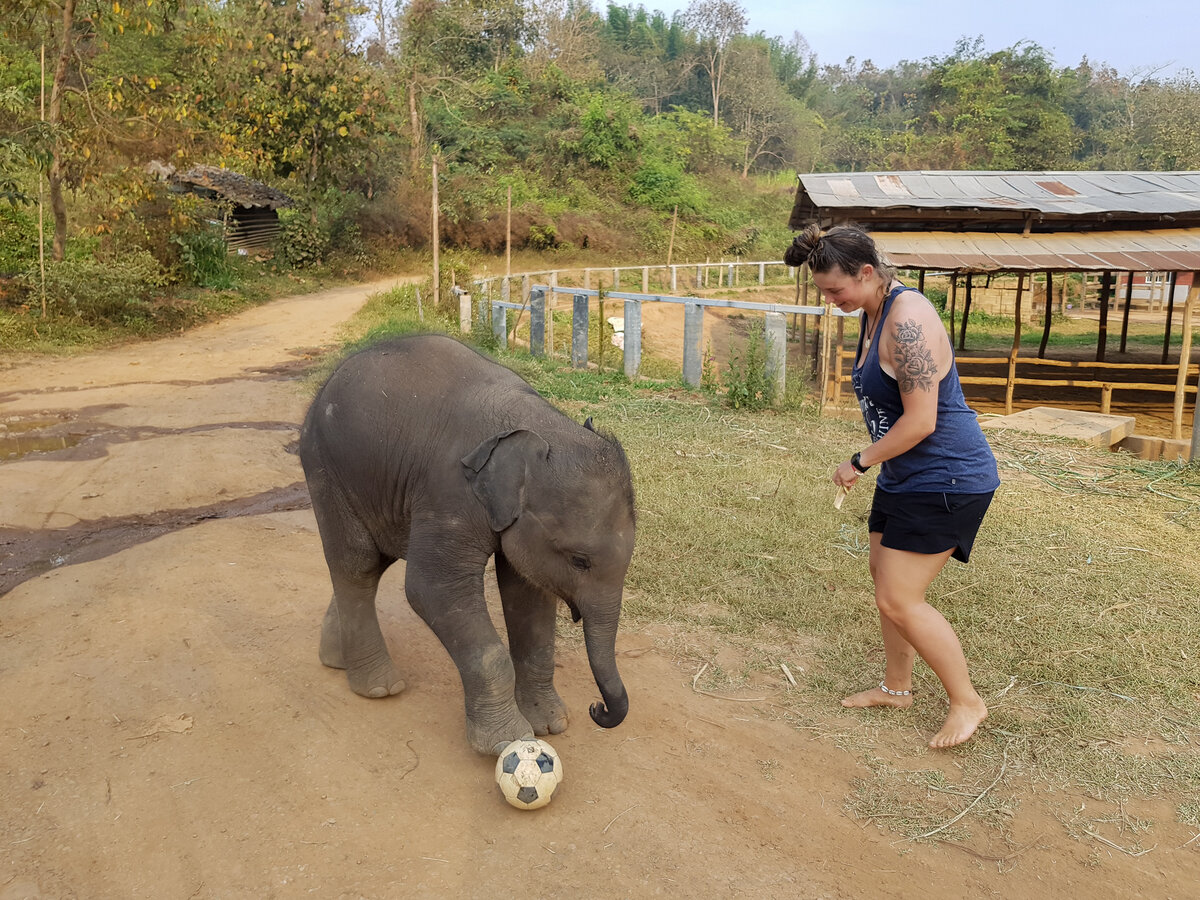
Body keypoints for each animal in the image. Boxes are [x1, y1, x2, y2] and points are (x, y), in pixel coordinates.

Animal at [297, 336, 638, 758]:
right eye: (579, 560)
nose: (597, 708)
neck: (540, 426)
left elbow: (528, 594)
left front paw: (551, 724)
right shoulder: (449, 490)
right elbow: (431, 589)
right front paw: (509, 740)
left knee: (376, 561)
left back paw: (335, 660)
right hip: (325, 468)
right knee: (357, 563)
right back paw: (379, 688)